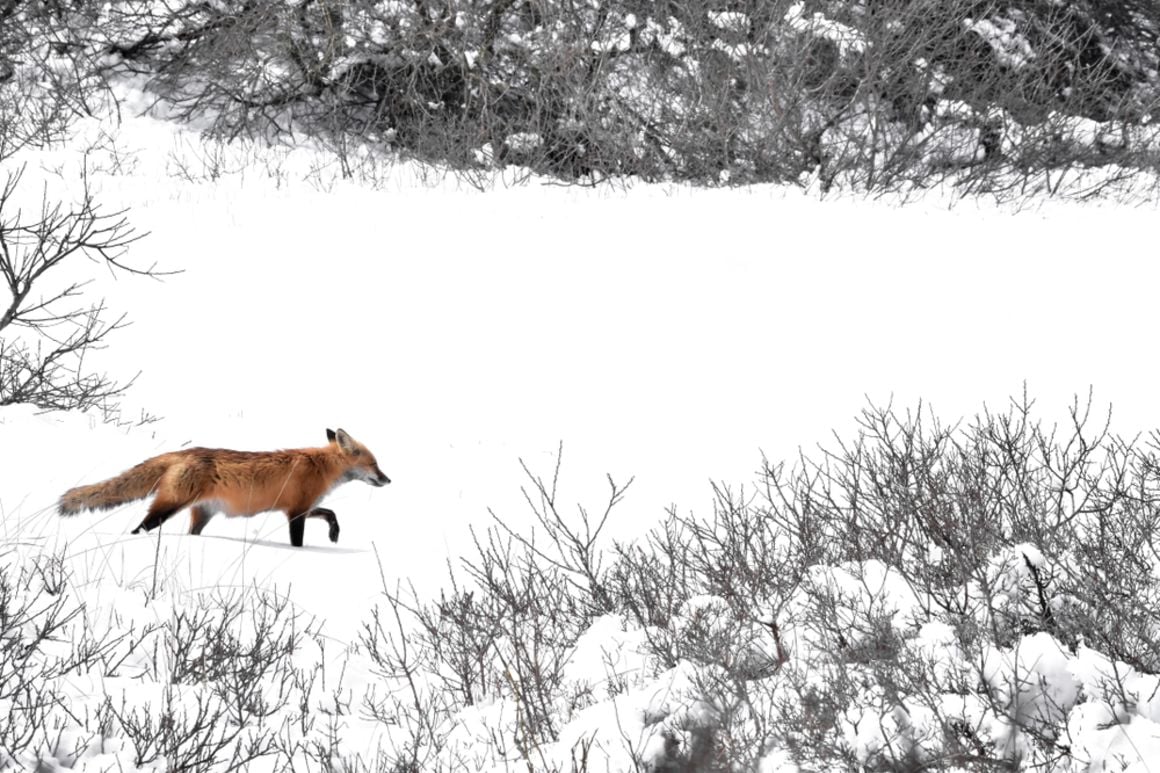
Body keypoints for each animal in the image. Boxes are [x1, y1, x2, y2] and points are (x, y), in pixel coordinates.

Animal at [58, 427, 392, 547]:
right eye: (375, 465)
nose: (389, 480)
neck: (320, 466)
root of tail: (183, 453)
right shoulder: (295, 512)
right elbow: (298, 541)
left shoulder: (302, 507)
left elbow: (331, 513)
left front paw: (334, 534)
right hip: (167, 507)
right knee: (140, 528)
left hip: (200, 515)